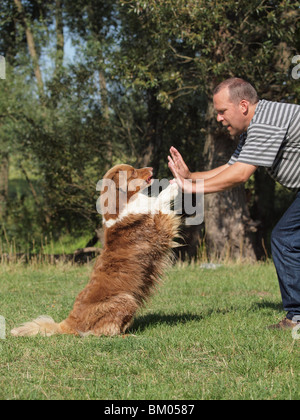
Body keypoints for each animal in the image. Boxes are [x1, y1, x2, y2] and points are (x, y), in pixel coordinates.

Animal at [11, 164, 180, 338]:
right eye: (133, 172)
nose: (151, 168)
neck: (122, 203)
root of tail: (68, 323)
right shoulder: (160, 229)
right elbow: (159, 201)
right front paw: (174, 184)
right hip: (126, 298)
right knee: (104, 331)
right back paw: (128, 335)